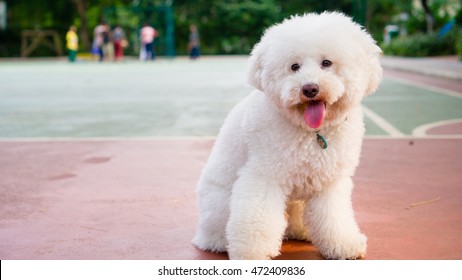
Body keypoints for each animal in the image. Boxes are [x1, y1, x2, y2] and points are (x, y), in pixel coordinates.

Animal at [191, 11, 382, 260]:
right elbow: (258, 219)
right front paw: (252, 253)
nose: (309, 88)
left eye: (326, 63)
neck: (311, 133)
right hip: (220, 203)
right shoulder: (264, 177)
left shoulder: (330, 183)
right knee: (215, 228)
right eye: (294, 66)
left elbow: (334, 217)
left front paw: (343, 245)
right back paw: (218, 241)